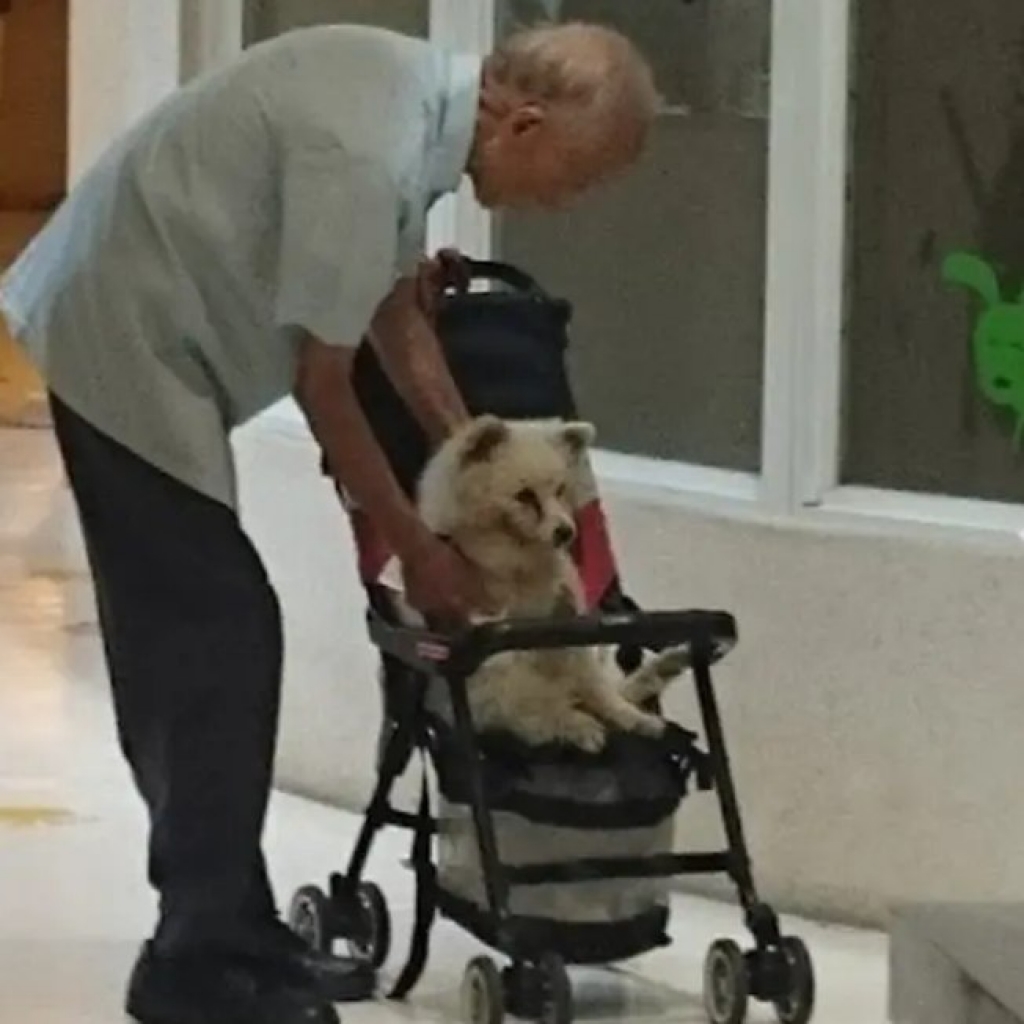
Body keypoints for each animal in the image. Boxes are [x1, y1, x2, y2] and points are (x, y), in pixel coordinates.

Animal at [415, 411, 688, 757]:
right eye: (525, 496)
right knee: (537, 710)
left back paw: (634, 715)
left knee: (600, 693)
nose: (566, 532)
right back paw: (578, 724)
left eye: (560, 490)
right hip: (498, 693)